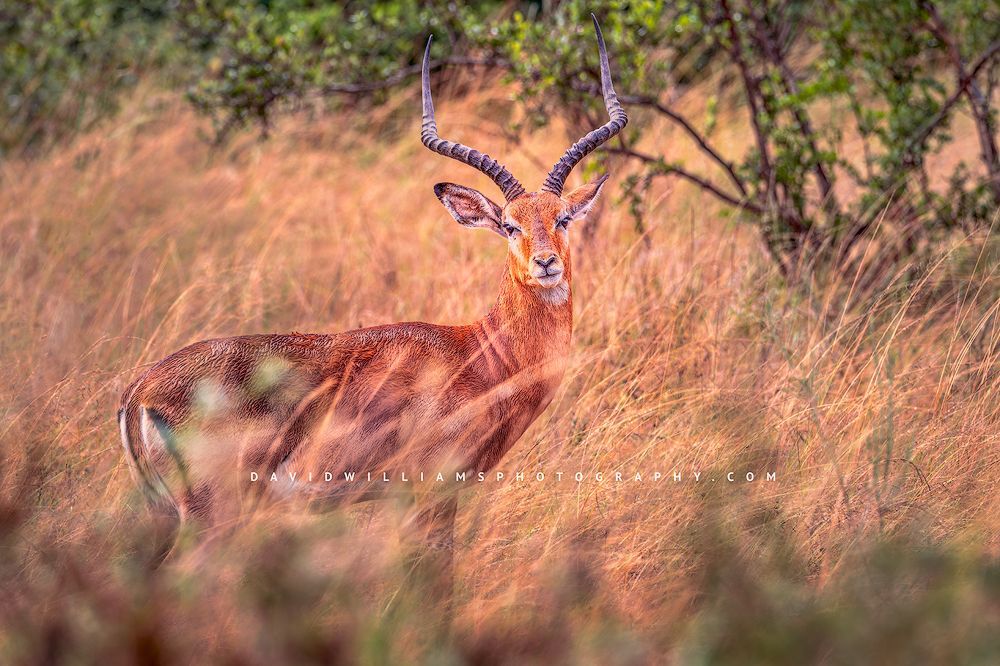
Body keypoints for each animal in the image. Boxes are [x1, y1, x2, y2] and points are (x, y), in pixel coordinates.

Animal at [118, 16, 626, 584]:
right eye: (510, 225)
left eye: (562, 218)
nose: (545, 263)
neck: (484, 355)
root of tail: (139, 391)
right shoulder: (431, 496)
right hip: (211, 517)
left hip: (166, 518)